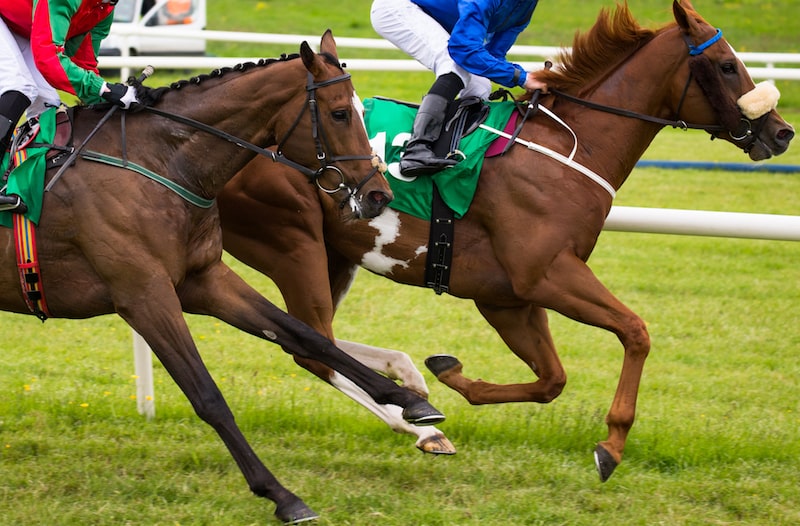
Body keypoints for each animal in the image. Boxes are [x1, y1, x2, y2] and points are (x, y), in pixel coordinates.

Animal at [0, 33, 450, 526]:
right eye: (339, 113)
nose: (378, 195)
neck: (159, 162)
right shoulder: (143, 294)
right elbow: (208, 396)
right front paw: (281, 495)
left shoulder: (203, 279)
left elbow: (306, 336)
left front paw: (412, 403)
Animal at [217, 1, 792, 486]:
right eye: (725, 65)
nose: (782, 132)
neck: (566, 149)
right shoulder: (546, 275)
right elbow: (635, 332)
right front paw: (611, 445)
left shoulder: (508, 297)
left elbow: (552, 380)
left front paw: (448, 373)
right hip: (292, 243)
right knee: (312, 347)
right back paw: (422, 425)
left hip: (333, 254)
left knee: (317, 337)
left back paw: (411, 389)